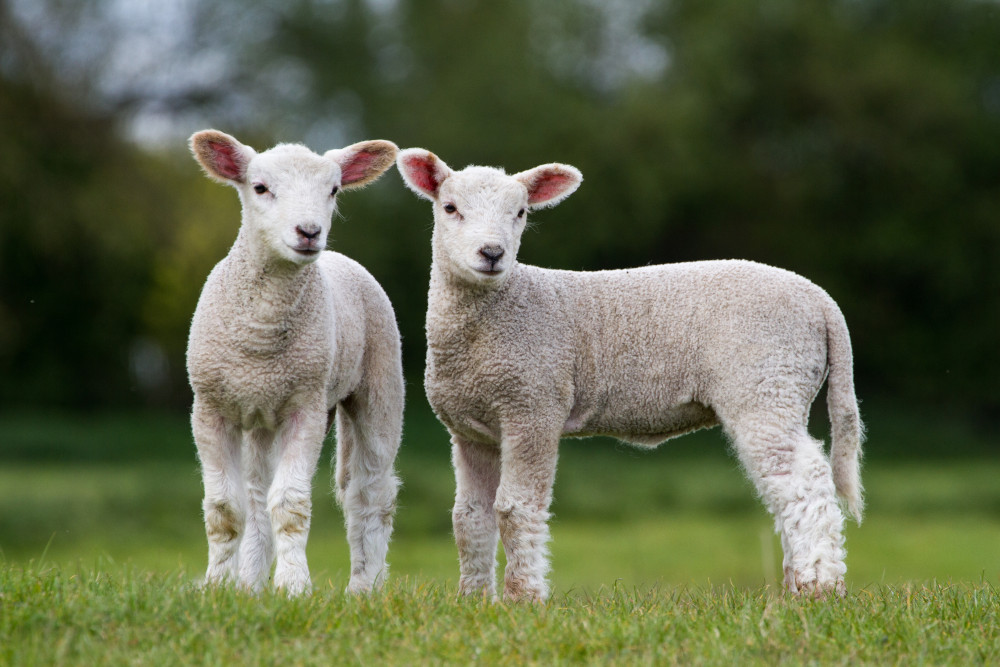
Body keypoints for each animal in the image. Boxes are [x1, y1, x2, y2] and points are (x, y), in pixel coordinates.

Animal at [187, 130, 404, 596]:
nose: (309, 232)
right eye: (260, 187)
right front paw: (218, 587)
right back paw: (250, 582)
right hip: (261, 416)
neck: (261, 337)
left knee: (371, 493)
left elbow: (290, 505)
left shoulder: (306, 407)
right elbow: (224, 509)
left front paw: (292, 587)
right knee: (255, 495)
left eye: (334, 190)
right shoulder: (210, 408)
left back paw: (366, 587)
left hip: (380, 381)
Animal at [396, 148, 864, 602]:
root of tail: (821, 300)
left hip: (767, 382)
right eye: (450, 208)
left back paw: (820, 587)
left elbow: (514, 509)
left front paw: (522, 599)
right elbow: (469, 519)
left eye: (521, 212)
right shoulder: (471, 431)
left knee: (803, 482)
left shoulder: (533, 407)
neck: (495, 315)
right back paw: (797, 587)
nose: (492, 254)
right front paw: (473, 602)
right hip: (779, 381)